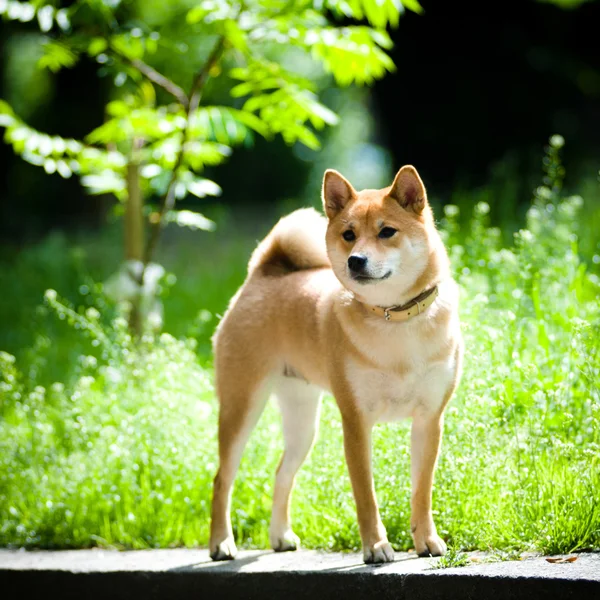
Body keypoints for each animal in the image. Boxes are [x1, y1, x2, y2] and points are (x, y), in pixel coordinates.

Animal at [209, 164, 462, 564]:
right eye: (348, 235)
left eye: (387, 231)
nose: (355, 260)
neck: (395, 319)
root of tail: (261, 275)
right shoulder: (356, 423)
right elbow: (366, 496)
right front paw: (376, 546)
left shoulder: (429, 421)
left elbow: (422, 491)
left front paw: (427, 541)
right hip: (240, 408)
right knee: (222, 478)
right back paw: (221, 542)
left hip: (302, 425)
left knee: (282, 474)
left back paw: (280, 535)